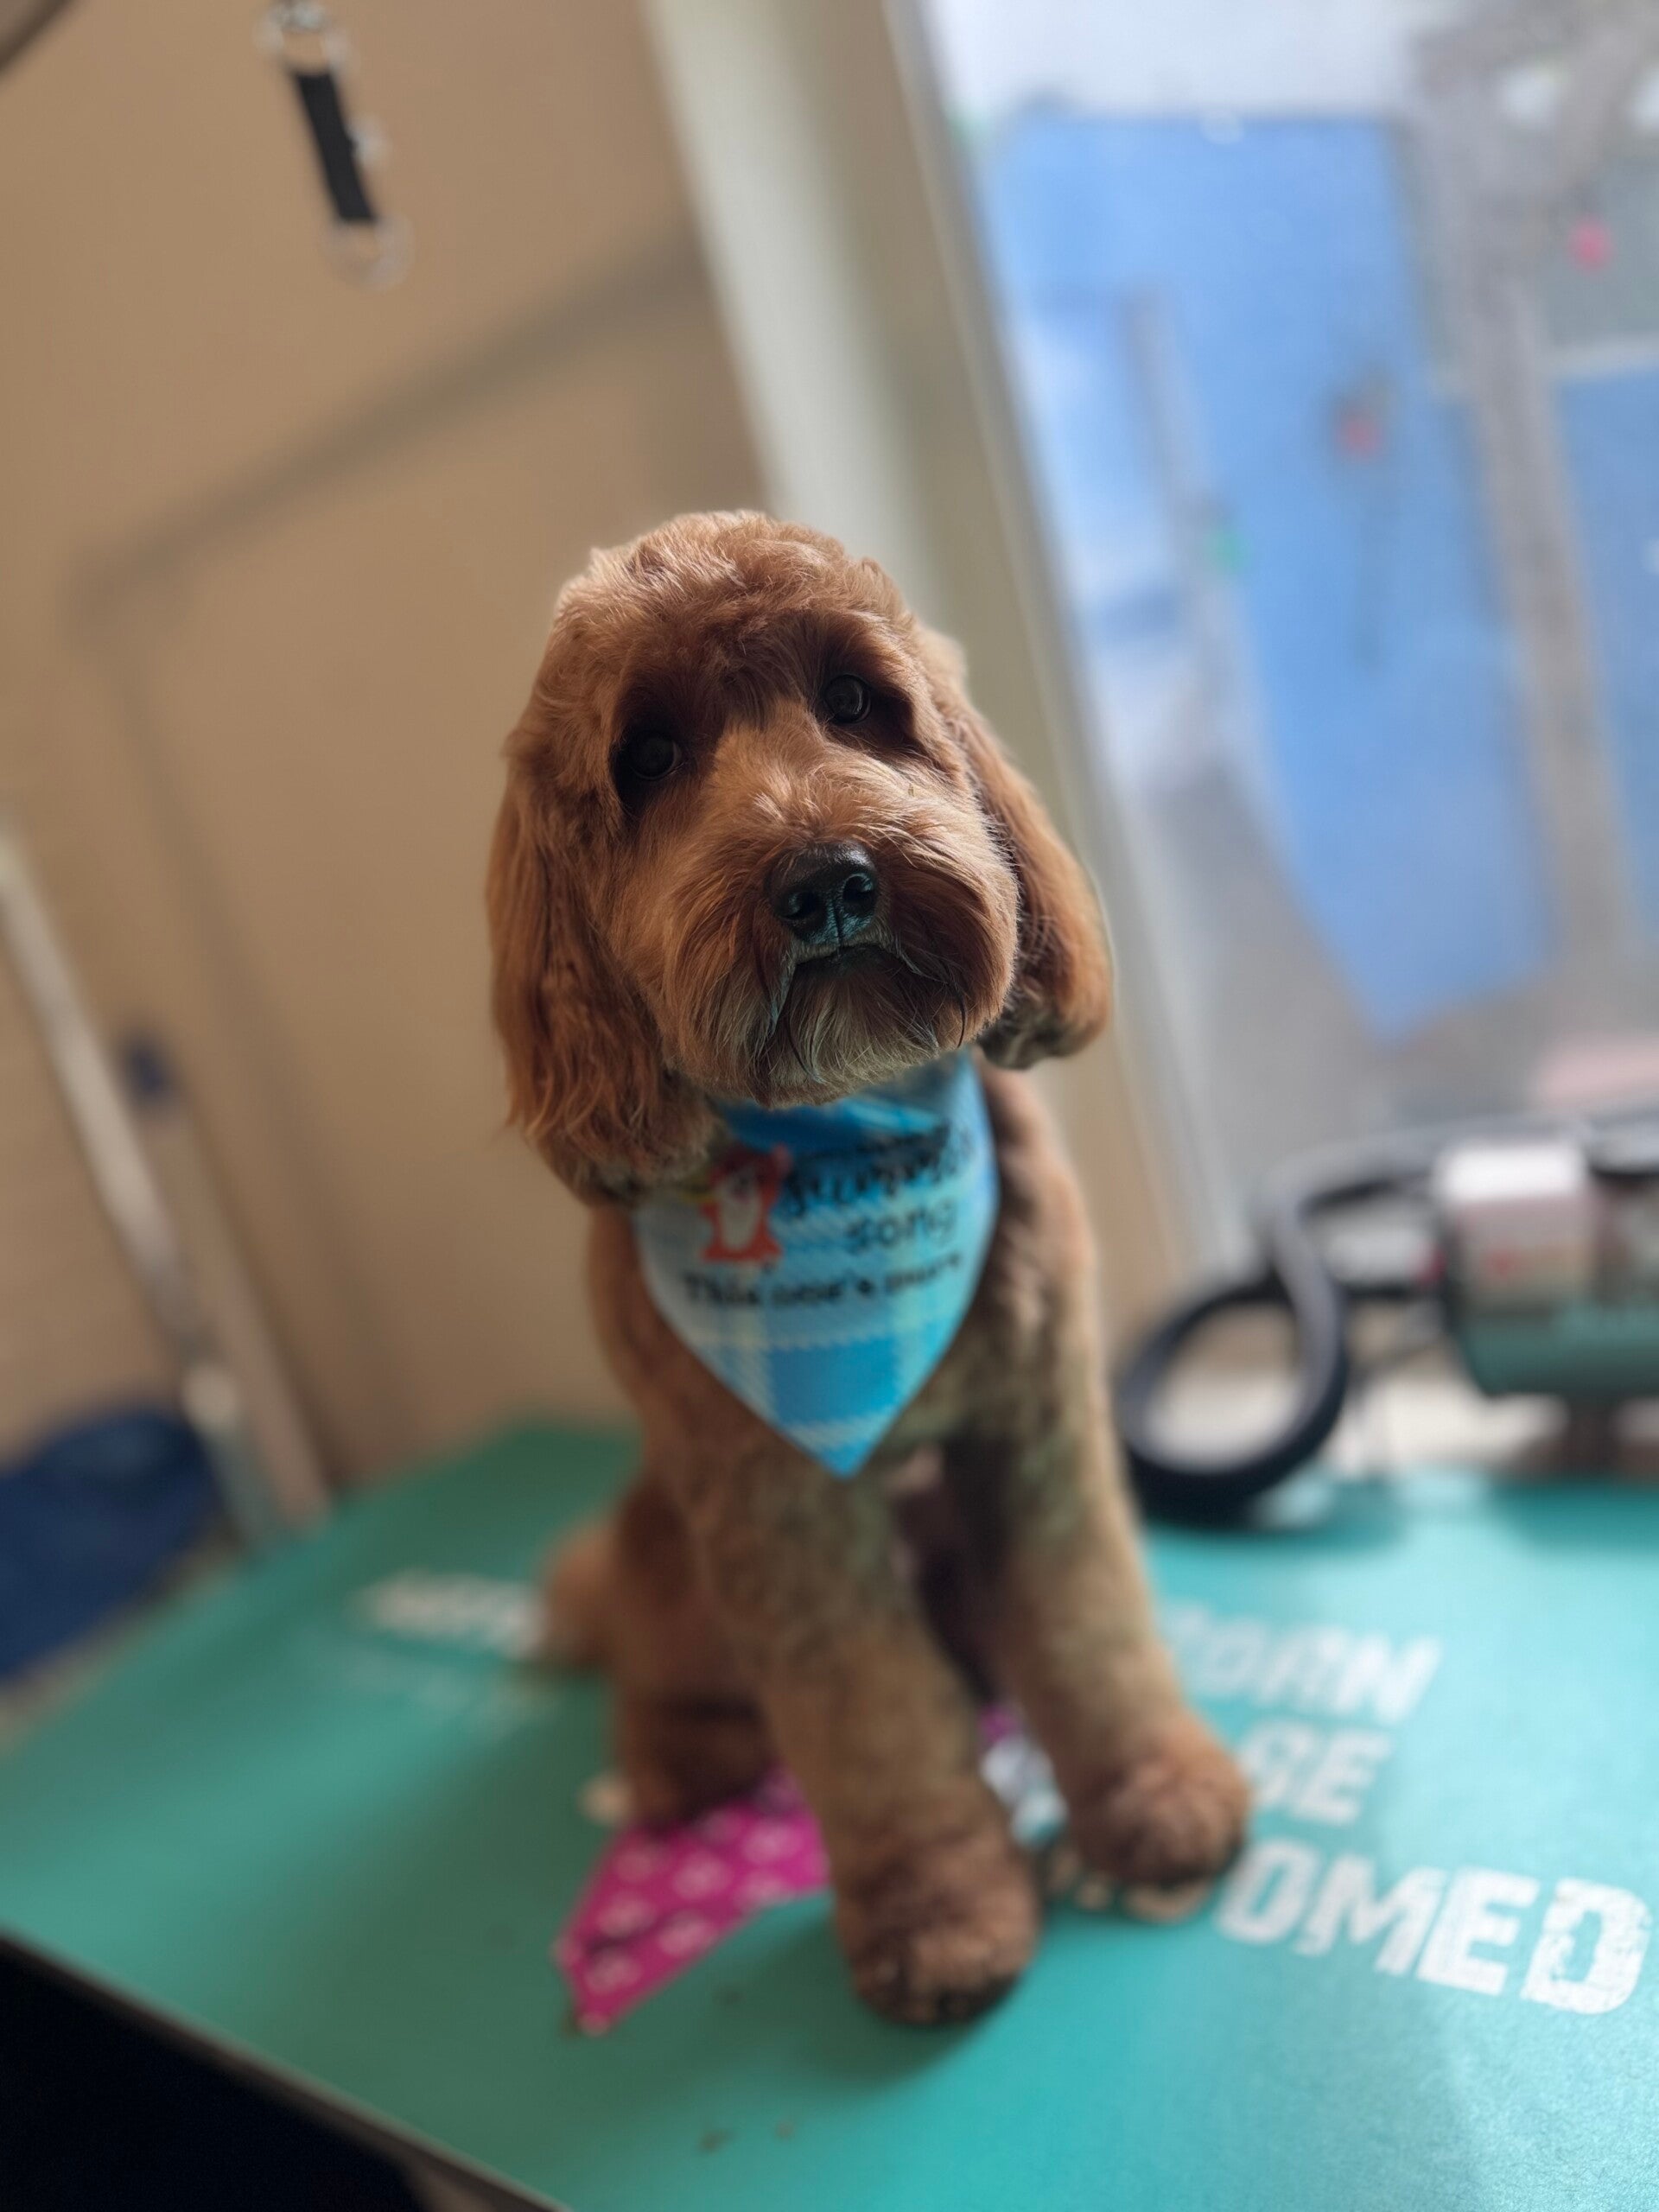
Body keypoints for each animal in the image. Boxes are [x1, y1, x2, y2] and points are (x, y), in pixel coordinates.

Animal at [488, 512, 1247, 2024]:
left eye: (856, 701)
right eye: (646, 759)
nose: (829, 879)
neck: (847, 1124)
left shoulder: (1035, 1433)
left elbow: (1087, 1626)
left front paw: (1153, 1792)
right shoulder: (781, 1517)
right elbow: (871, 1722)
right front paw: (938, 1908)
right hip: (673, 1561)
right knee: (652, 1672)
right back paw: (674, 1759)